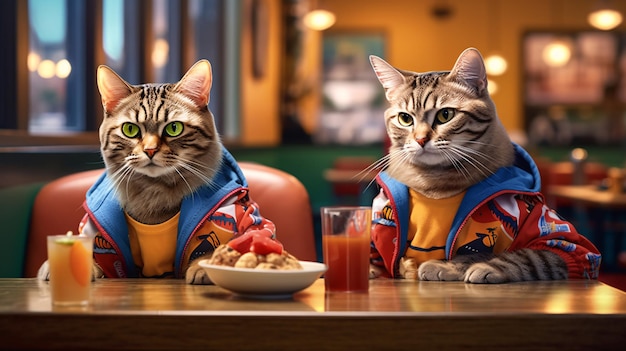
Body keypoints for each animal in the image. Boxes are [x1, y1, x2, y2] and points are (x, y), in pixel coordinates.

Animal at [366, 47, 600, 284]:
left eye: (445, 115)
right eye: (405, 119)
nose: (421, 139)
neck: (435, 185)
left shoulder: (569, 246)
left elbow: (527, 256)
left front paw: (460, 266)